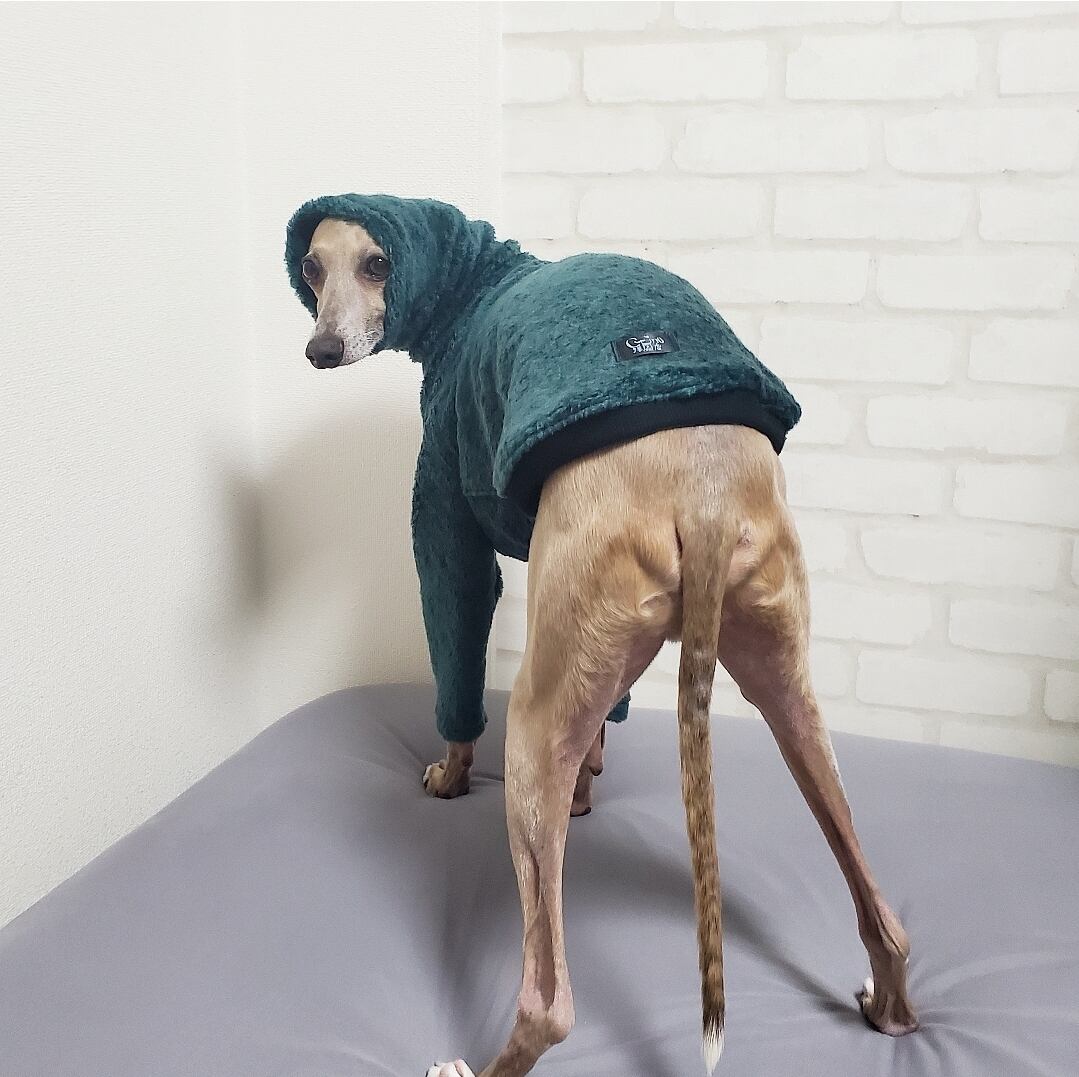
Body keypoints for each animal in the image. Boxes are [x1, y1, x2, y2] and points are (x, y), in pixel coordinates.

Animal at [290, 206, 918, 1076]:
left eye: (377, 262)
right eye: (312, 267)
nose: (320, 349)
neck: (475, 284)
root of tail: (707, 497)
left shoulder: (447, 515)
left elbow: (457, 656)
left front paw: (449, 774)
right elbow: (602, 726)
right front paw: (587, 788)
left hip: (534, 720)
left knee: (549, 1002)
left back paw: (464, 1065)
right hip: (782, 680)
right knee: (884, 915)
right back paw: (887, 1007)